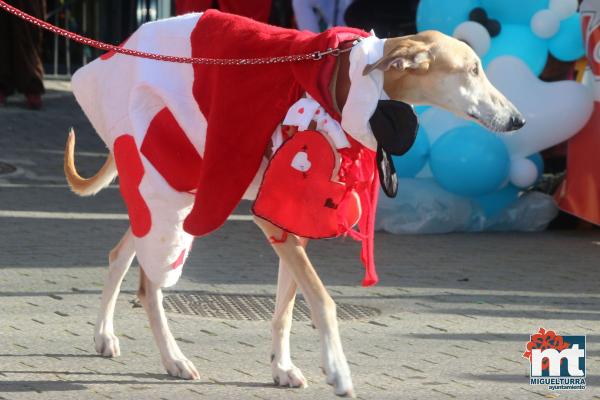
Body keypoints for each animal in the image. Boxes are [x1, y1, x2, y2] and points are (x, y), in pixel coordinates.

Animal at [64, 10, 524, 398]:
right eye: (473, 69)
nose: (518, 120)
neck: (344, 86)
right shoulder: (271, 220)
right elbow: (322, 300)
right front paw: (337, 370)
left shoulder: (291, 224)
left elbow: (286, 307)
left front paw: (281, 368)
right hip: (166, 182)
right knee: (150, 281)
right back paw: (173, 358)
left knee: (122, 253)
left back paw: (104, 335)